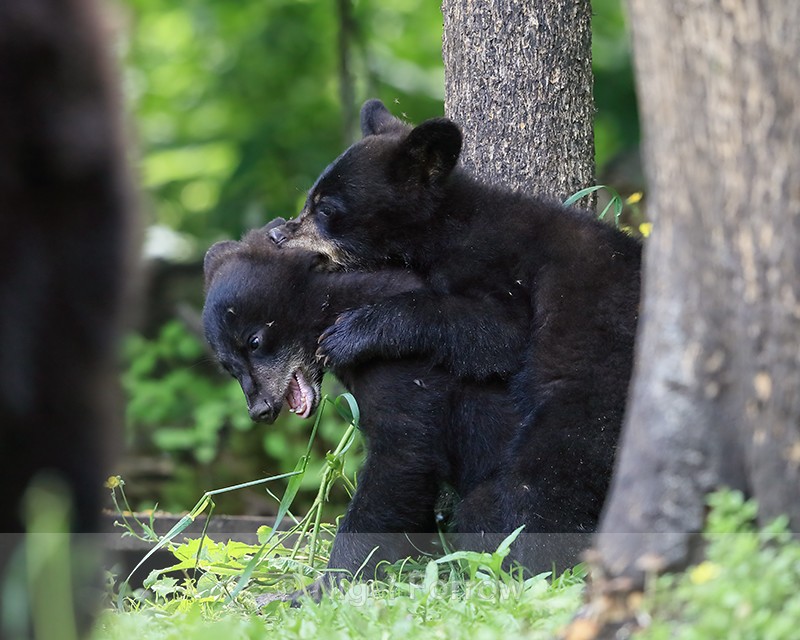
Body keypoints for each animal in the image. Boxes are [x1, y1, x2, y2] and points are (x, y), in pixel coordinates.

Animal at [202, 223, 590, 601]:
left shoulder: (400, 365)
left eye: (254, 341)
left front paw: (323, 586)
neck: (333, 306)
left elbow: (402, 456)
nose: (260, 410)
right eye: (228, 366)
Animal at [268, 99, 642, 539]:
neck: (444, 228)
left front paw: (350, 334)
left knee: (545, 477)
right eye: (309, 199)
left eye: (326, 208)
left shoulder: (495, 265)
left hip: (596, 390)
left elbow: (498, 331)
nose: (277, 236)